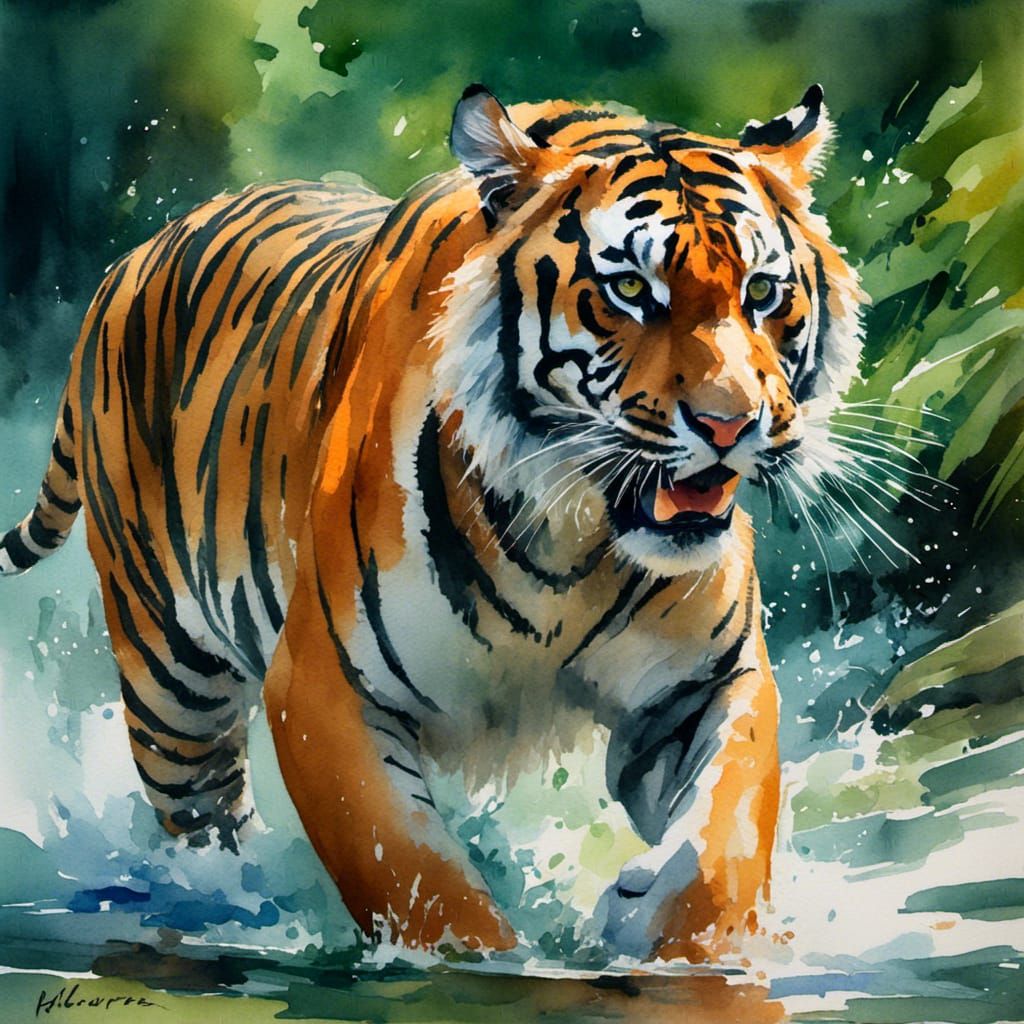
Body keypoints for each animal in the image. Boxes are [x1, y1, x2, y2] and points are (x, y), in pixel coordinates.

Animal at [0, 84, 861, 962]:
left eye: (762, 292)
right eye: (629, 290)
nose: (731, 425)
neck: (576, 541)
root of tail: (129, 262)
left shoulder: (707, 682)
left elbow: (726, 842)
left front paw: (674, 940)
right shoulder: (323, 689)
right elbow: (418, 880)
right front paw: (492, 965)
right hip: (170, 681)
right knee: (205, 824)